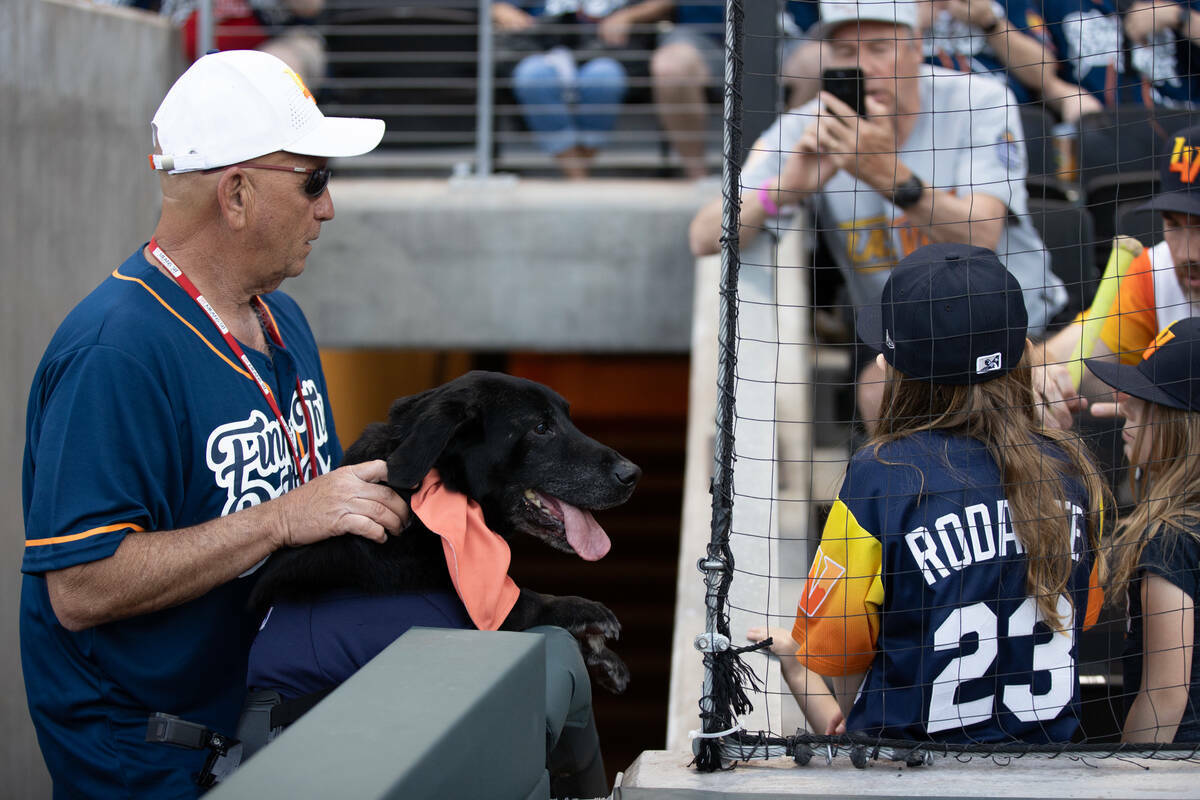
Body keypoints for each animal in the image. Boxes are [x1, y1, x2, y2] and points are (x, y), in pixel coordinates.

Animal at [249, 371, 643, 690]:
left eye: (567, 419)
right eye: (541, 428)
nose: (633, 474)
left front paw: (603, 657)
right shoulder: (487, 617)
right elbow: (527, 602)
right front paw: (586, 613)